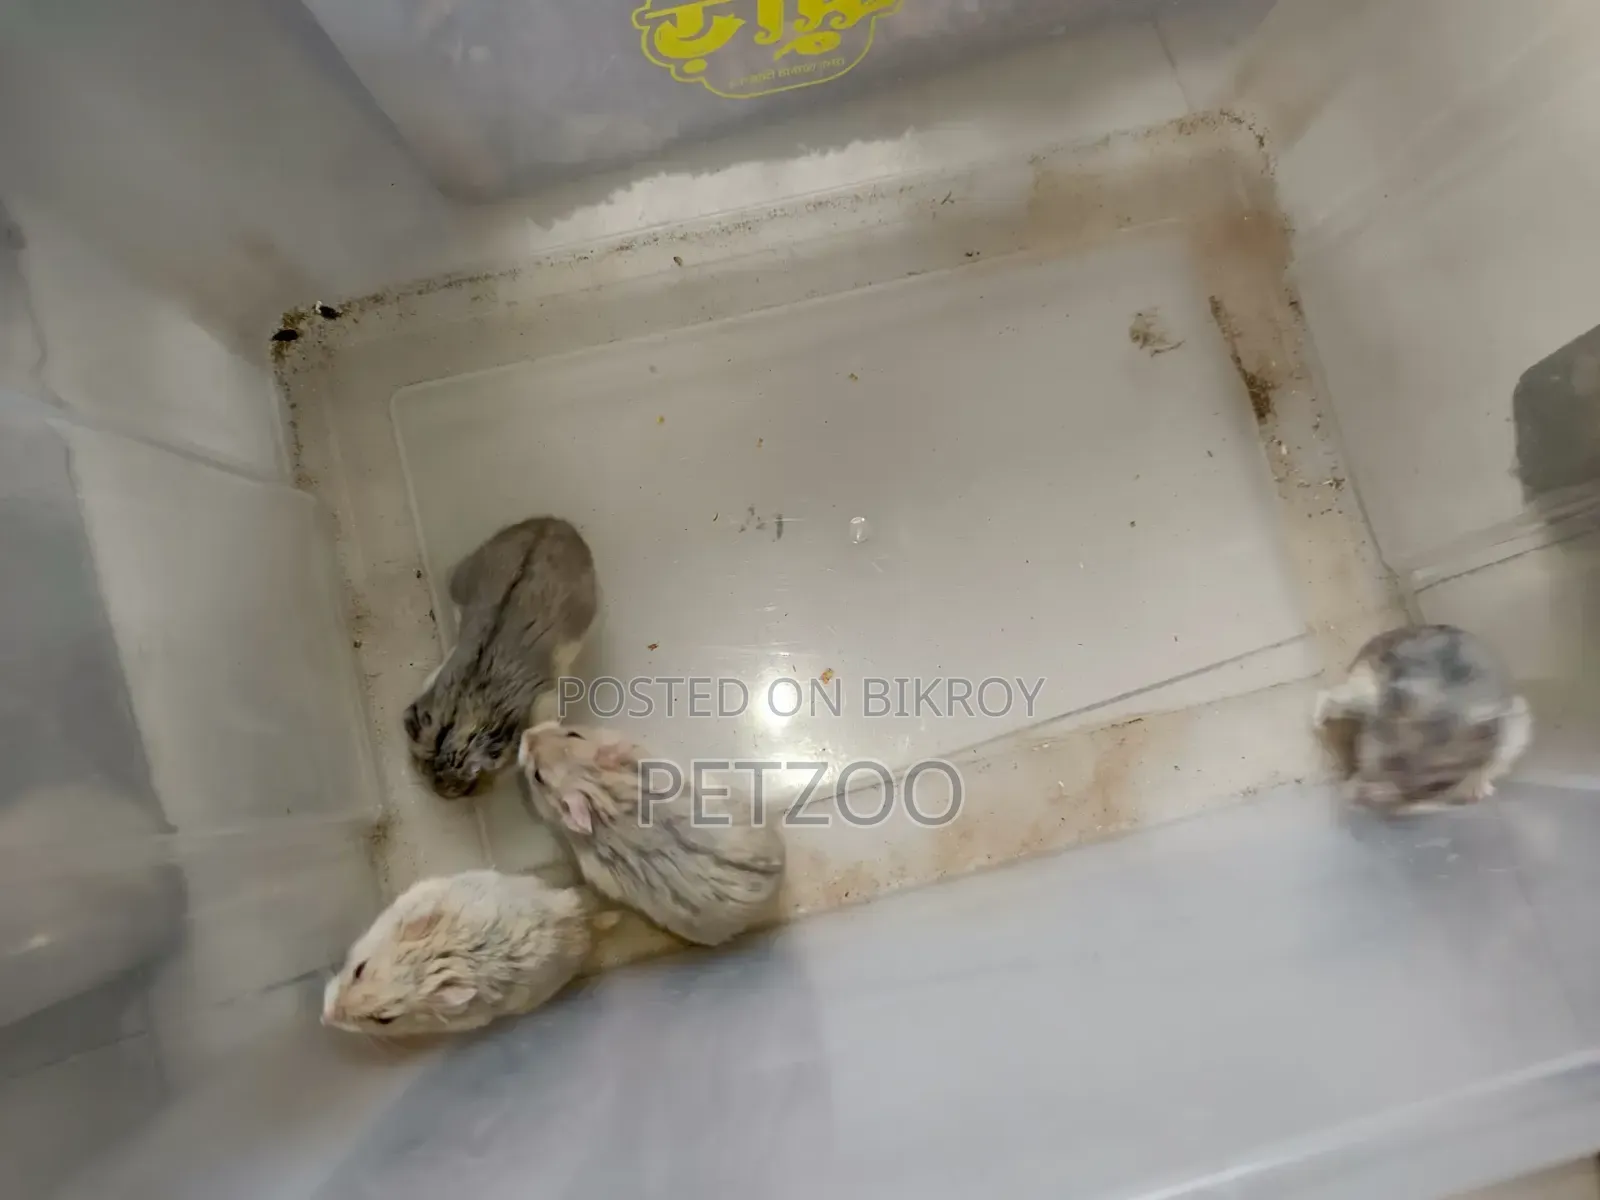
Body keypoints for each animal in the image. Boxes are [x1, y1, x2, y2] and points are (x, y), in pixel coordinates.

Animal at [404, 517, 597, 799]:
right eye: (425, 764)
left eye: (469, 781)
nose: (441, 793)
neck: (470, 704)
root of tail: (556, 522)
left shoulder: (546, 702)